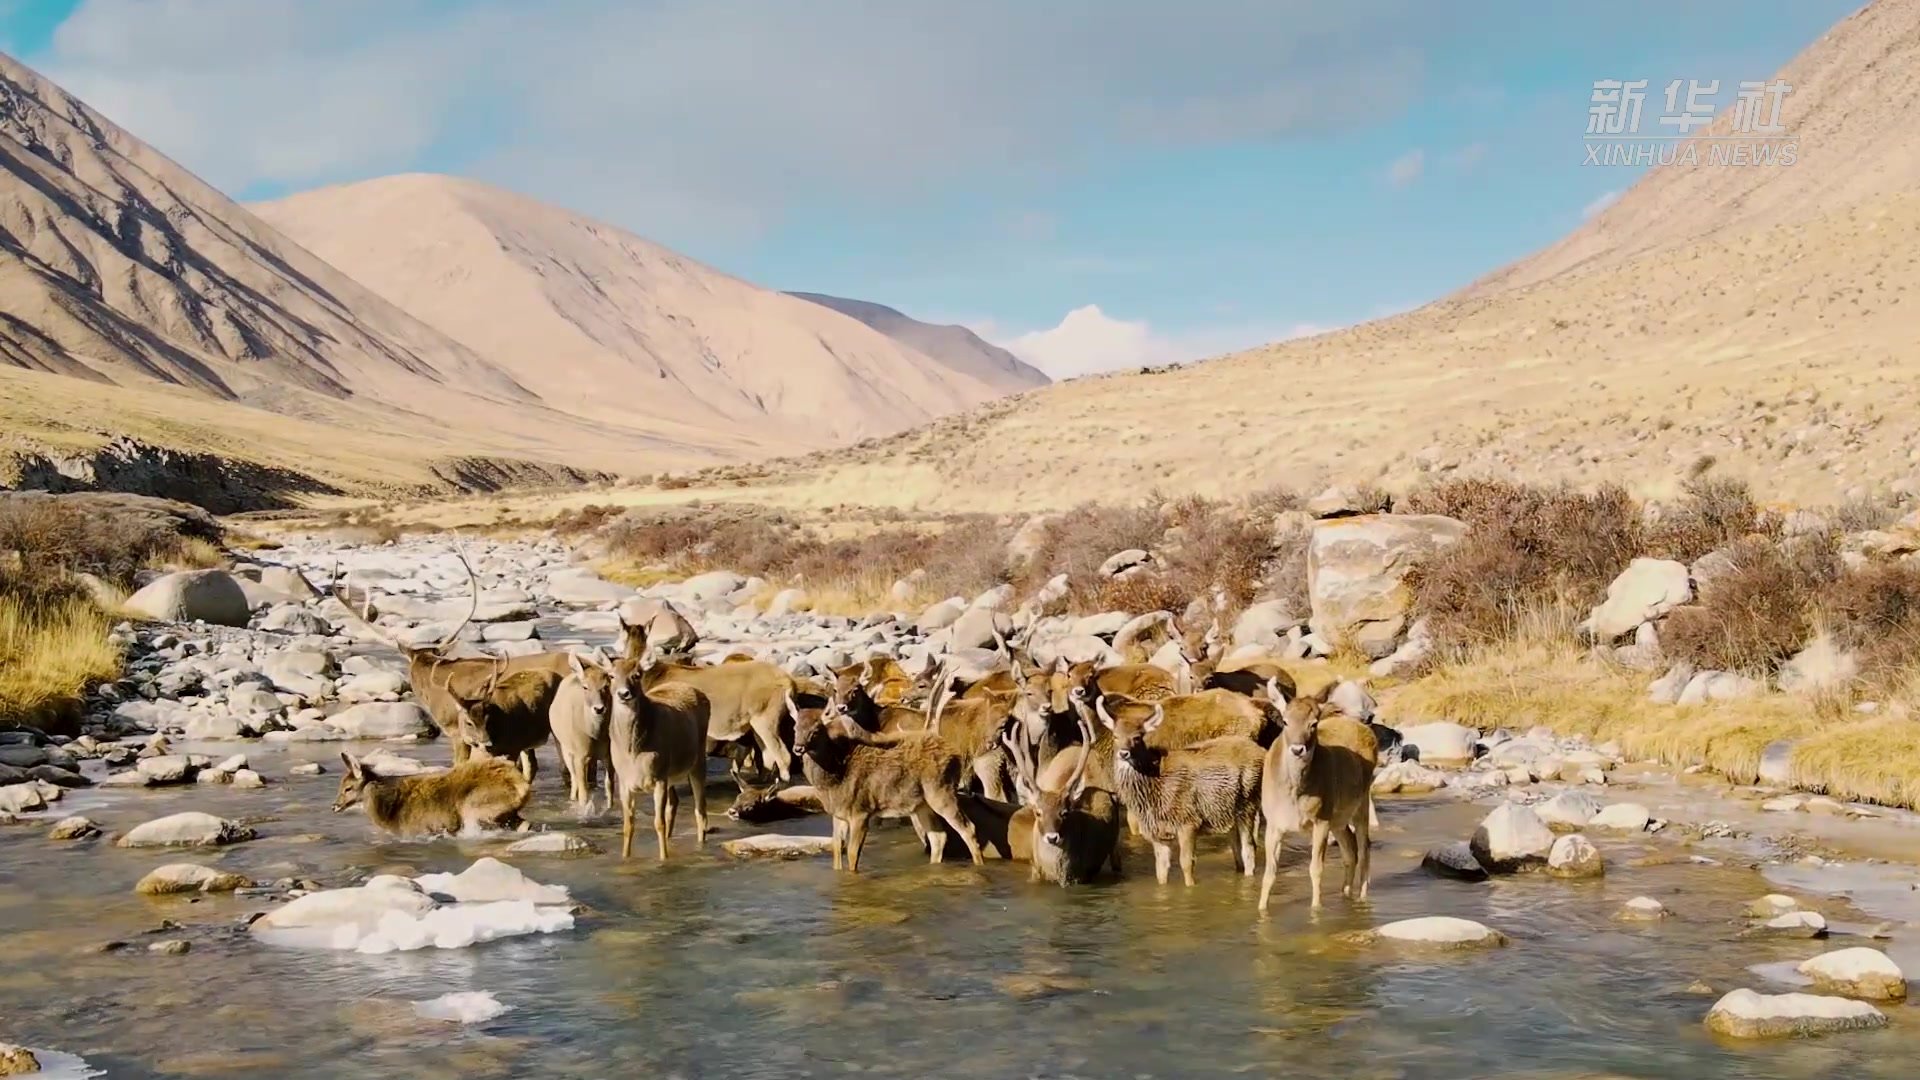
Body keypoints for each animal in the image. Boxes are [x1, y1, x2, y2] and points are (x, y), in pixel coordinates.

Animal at [606, 645, 714, 857]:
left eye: (637, 675)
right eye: (611, 676)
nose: (624, 694)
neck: (634, 752)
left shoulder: (660, 777)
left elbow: (658, 823)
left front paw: (663, 858)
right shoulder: (624, 781)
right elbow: (628, 825)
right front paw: (625, 857)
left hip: (698, 759)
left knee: (701, 810)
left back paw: (700, 846)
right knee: (675, 803)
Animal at [1098, 687, 1259, 883]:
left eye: (1137, 737)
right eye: (1115, 736)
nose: (1123, 753)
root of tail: (1262, 753)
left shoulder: (1188, 820)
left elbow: (1186, 864)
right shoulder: (1156, 833)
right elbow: (1160, 870)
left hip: (1248, 802)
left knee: (1249, 848)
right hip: (1227, 812)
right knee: (1237, 848)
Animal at [1259, 676, 1382, 910]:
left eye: (1314, 723)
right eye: (1285, 721)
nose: (1297, 749)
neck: (1293, 797)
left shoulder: (1321, 818)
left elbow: (1315, 869)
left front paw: (1316, 909)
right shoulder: (1273, 823)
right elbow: (1269, 873)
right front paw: (1261, 910)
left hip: (1360, 803)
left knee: (1364, 847)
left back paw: (1362, 898)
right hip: (1339, 818)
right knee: (1350, 849)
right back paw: (1345, 893)